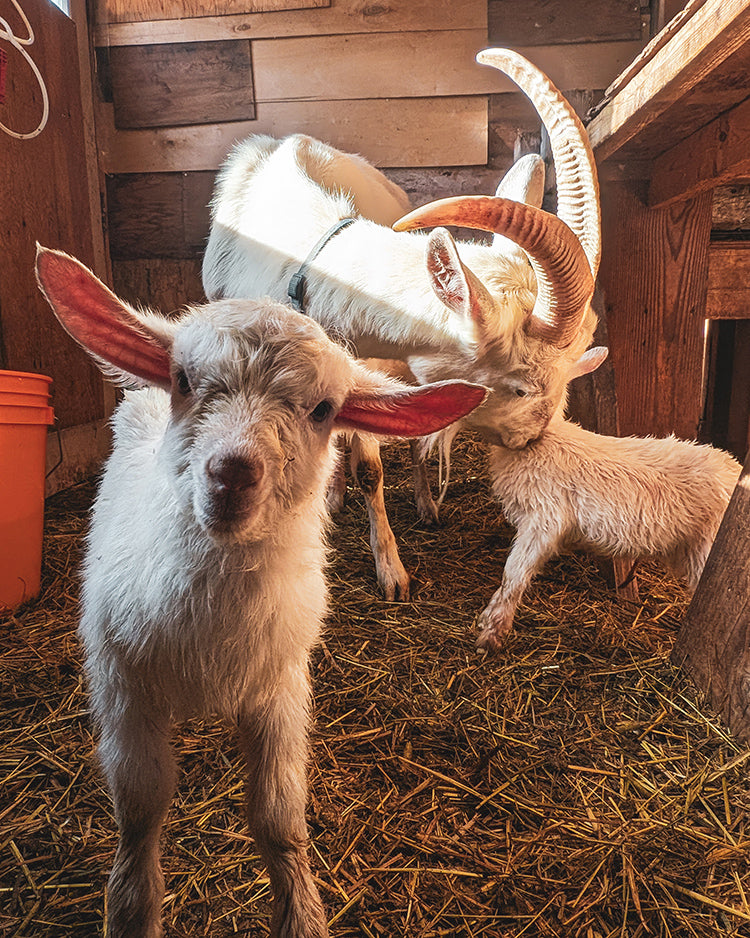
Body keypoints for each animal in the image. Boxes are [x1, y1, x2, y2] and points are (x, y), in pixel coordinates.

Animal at [35, 246, 485, 938]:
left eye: (324, 409)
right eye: (183, 379)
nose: (231, 473)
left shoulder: (280, 688)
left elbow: (278, 820)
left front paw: (301, 911)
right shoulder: (124, 687)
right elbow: (140, 812)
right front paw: (132, 905)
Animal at [202, 48, 604, 601]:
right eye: (522, 388)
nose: (531, 441)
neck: (313, 262)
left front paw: (395, 558)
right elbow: (366, 465)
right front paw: (388, 569)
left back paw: (422, 502)